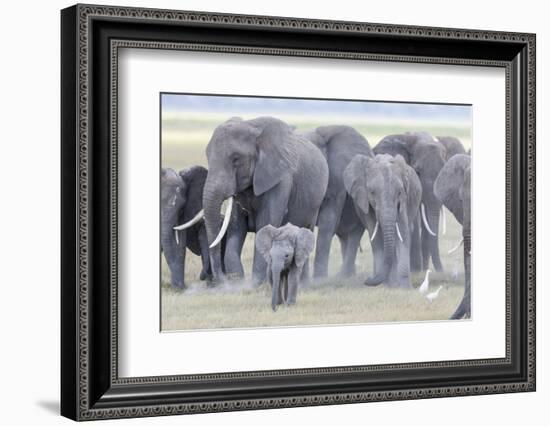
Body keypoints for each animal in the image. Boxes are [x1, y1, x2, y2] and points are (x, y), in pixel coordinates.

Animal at [204, 116, 330, 284]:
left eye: (236, 159)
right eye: (207, 157)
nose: (221, 281)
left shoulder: (281, 179)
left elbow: (265, 223)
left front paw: (256, 284)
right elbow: (236, 227)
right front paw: (238, 282)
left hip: (315, 204)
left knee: (305, 233)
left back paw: (302, 284)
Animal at [306, 125, 376, 278]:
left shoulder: (337, 178)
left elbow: (328, 221)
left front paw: (319, 279)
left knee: (354, 234)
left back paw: (344, 276)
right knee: (344, 236)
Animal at [344, 155, 422, 288]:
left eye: (399, 192)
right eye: (372, 192)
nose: (367, 280)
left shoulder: (403, 202)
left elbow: (403, 234)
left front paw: (405, 288)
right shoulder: (366, 204)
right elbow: (375, 237)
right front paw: (384, 284)